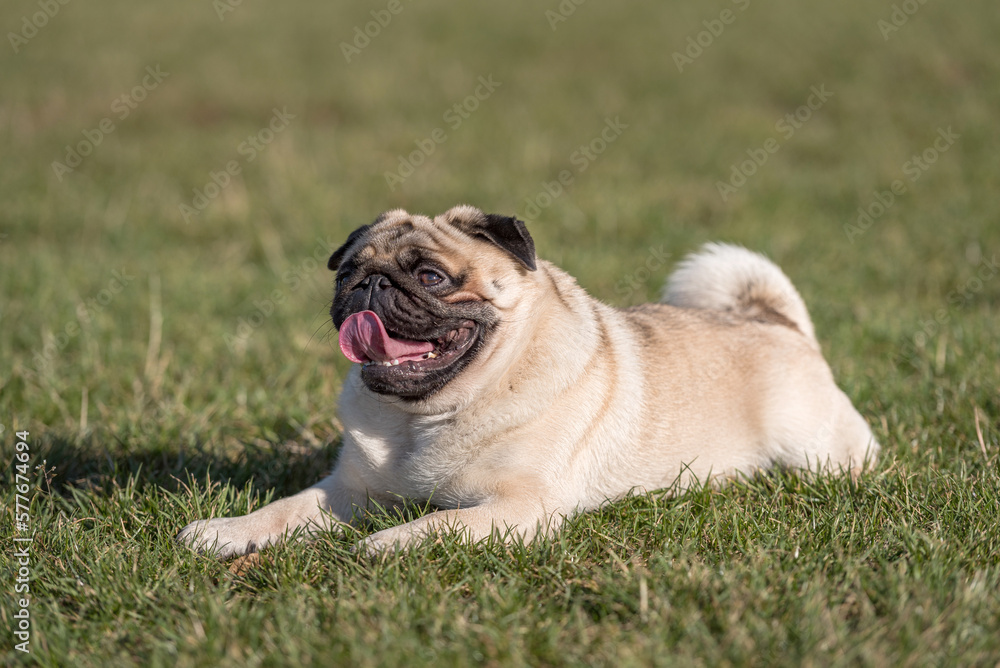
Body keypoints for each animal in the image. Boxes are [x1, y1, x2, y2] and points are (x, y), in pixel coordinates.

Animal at [176, 205, 880, 560]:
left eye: (430, 277)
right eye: (347, 271)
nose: (368, 285)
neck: (425, 416)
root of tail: (773, 319)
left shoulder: (520, 508)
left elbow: (441, 524)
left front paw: (388, 542)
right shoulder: (347, 491)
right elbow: (286, 508)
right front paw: (227, 531)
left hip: (816, 450)